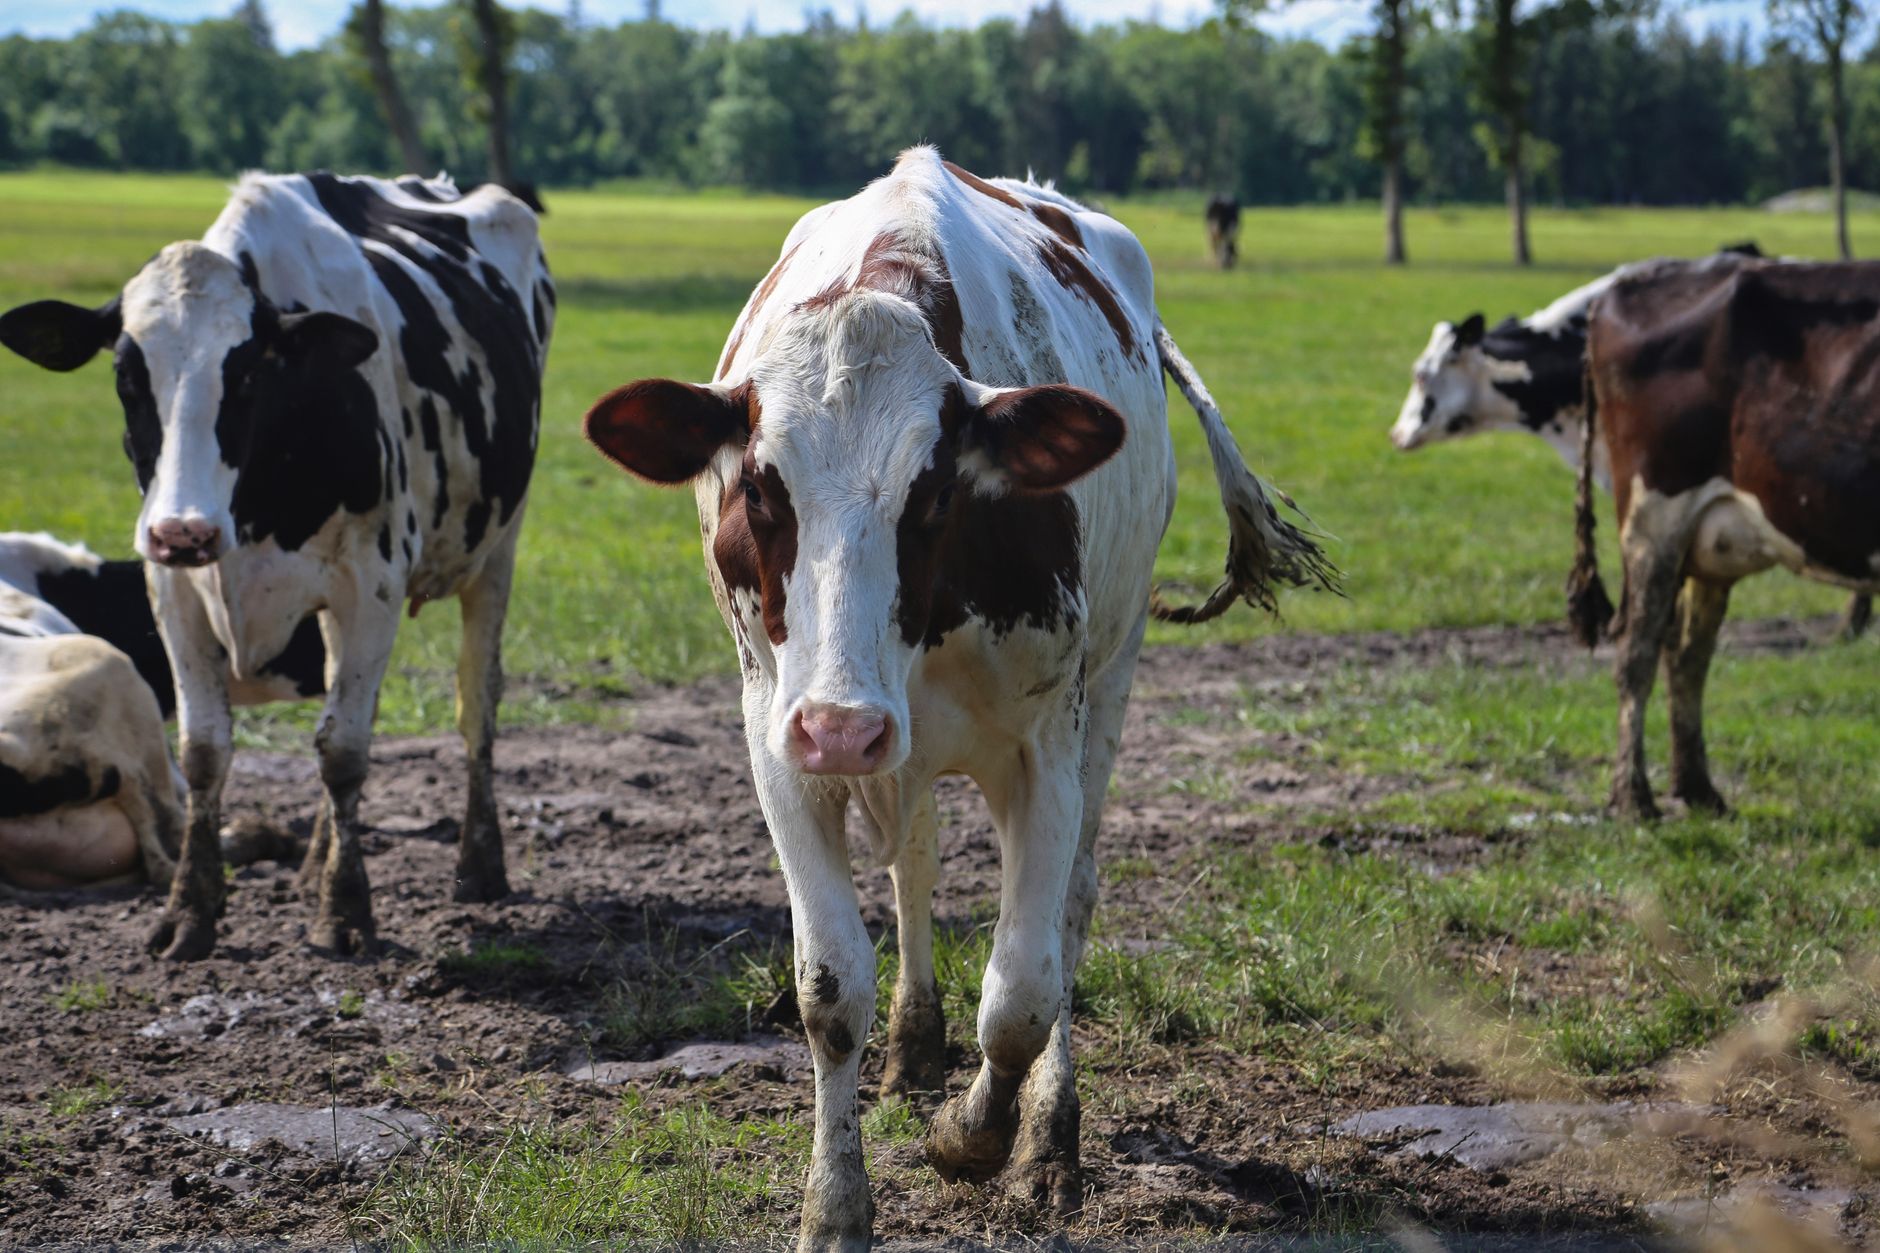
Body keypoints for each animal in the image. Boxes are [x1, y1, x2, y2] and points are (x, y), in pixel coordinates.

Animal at [0, 171, 554, 959]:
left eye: (248, 375)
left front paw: (344, 911)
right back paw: (316, 859)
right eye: (127, 376)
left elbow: (344, 750)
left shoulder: (372, 585)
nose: (183, 530)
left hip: (497, 549)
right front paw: (192, 912)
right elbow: (205, 750)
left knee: (475, 699)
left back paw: (479, 865)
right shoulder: (173, 590)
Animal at [582, 146, 1334, 1251]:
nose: (842, 726)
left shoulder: (1045, 743)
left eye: (935, 492)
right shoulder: (777, 740)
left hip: (1109, 680)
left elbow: (1023, 991)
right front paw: (836, 1205)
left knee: (1066, 909)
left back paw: (1048, 1138)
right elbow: (828, 983)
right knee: (916, 867)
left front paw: (974, 1137)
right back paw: (912, 1045)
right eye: (759, 487)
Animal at [1568, 260, 1880, 818]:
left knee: (1688, 655)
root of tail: (1630, 282)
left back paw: (1697, 789)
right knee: (1637, 654)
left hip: (1709, 544)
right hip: (1654, 516)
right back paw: (1634, 798)